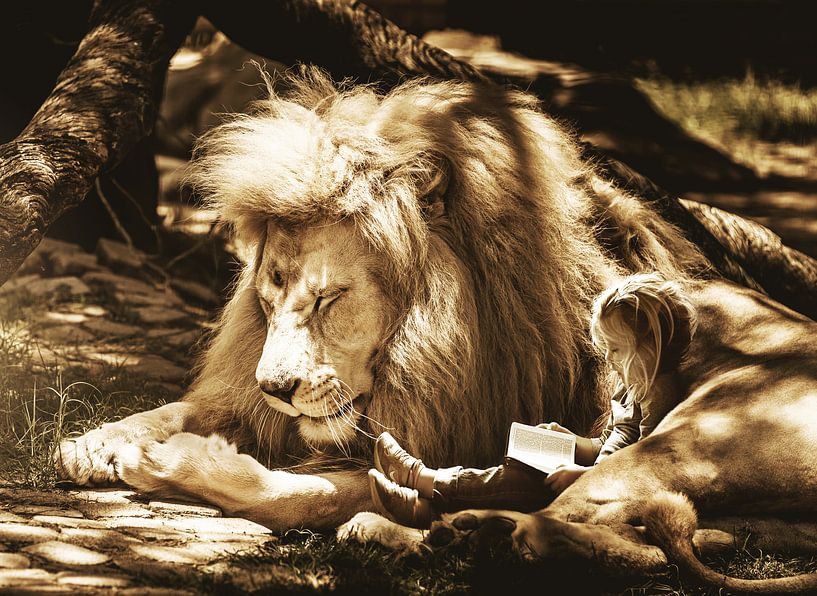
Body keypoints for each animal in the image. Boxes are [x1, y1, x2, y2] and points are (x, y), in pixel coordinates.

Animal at [54, 69, 817, 590]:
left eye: (329, 300)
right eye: (269, 294)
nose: (274, 388)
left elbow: (300, 492)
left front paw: (179, 461)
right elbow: (183, 407)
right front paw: (97, 441)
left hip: (687, 435)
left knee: (571, 520)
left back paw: (440, 530)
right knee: (643, 534)